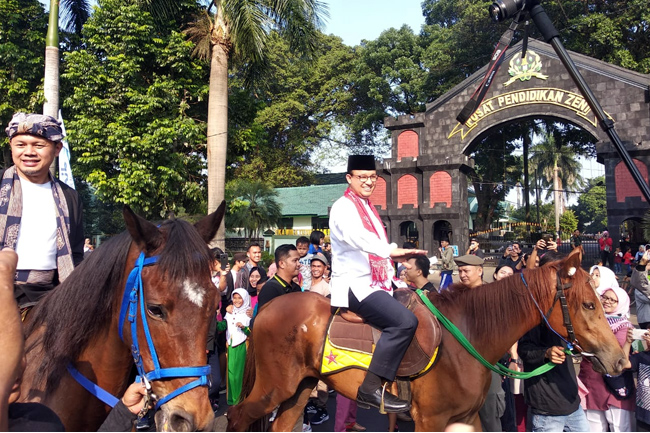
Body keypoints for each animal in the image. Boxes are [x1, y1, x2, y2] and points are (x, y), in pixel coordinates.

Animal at [227, 249, 628, 431]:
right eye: (588, 304)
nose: (620, 360)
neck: (467, 337)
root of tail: (268, 306)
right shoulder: (431, 420)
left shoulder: (467, 417)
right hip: (273, 387)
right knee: (237, 414)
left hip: (300, 387)